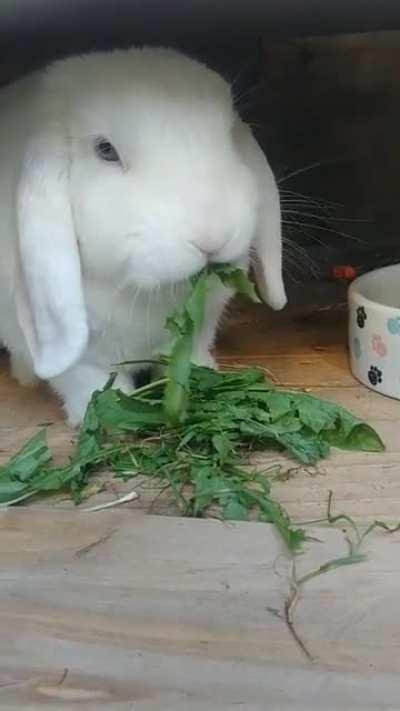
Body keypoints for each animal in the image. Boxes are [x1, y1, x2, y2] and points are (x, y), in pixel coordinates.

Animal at [0, 46, 286, 425]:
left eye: (228, 137)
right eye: (106, 150)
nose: (213, 236)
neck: (142, 295)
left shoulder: (199, 329)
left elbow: (190, 356)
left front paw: (201, 376)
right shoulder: (82, 357)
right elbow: (88, 382)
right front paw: (107, 415)